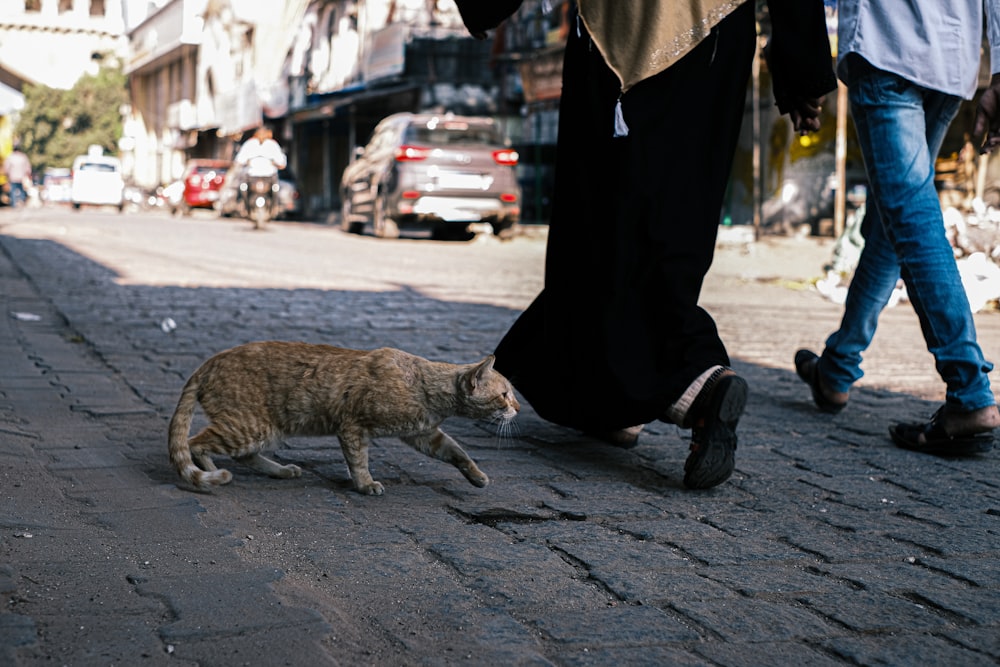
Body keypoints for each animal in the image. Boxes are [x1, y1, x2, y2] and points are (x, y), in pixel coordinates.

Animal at [167, 344, 520, 496]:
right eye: (505, 395)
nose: (518, 408)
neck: (423, 384)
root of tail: (207, 364)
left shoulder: (424, 434)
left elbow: (457, 451)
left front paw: (477, 476)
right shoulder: (353, 427)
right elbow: (359, 461)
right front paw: (365, 484)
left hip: (265, 428)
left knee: (245, 455)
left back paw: (280, 471)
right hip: (249, 426)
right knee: (196, 444)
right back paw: (212, 471)